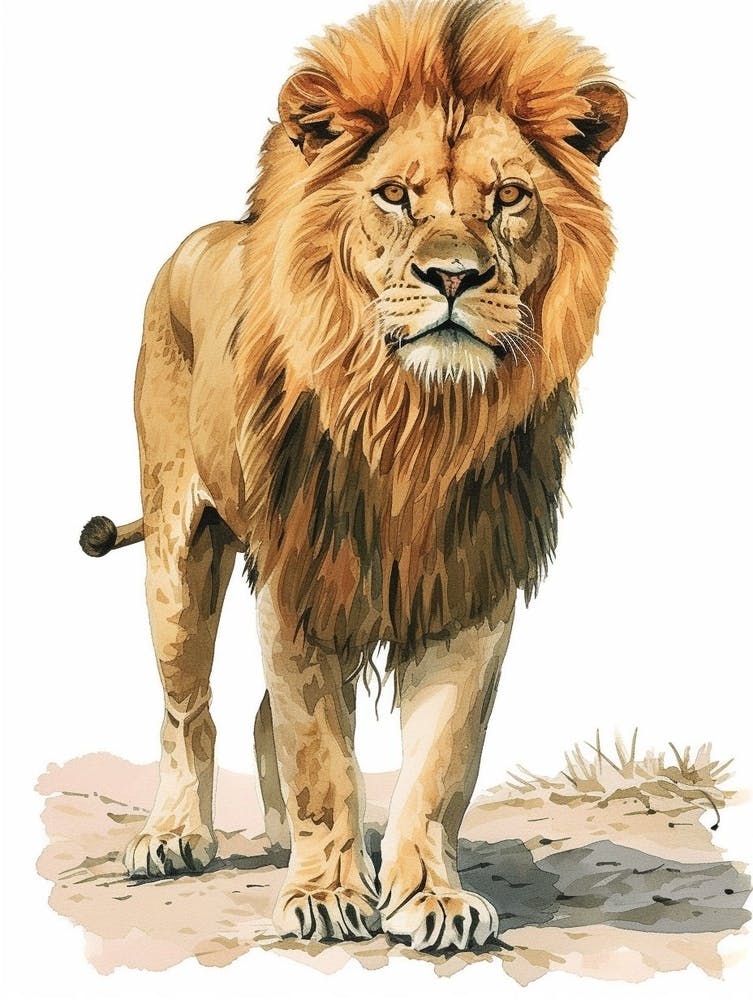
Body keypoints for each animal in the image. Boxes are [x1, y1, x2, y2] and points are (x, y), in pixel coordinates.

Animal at [79, 0, 626, 952]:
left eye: (508, 197)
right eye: (394, 195)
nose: (454, 276)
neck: (416, 423)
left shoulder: (469, 585)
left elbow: (440, 761)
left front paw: (429, 896)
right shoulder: (298, 578)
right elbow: (318, 753)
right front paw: (327, 893)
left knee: (259, 715)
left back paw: (275, 840)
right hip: (178, 552)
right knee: (190, 707)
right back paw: (177, 837)